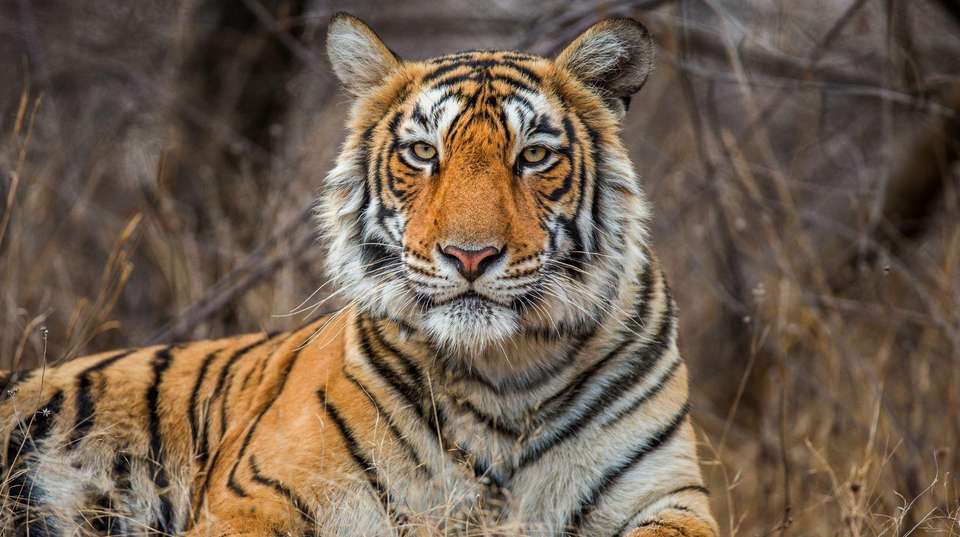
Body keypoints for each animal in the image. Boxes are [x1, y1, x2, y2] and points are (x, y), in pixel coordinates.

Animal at [0, 12, 719, 537]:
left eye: (535, 156)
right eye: (423, 152)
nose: (470, 256)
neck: (503, 373)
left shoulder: (666, 495)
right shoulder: (257, 494)